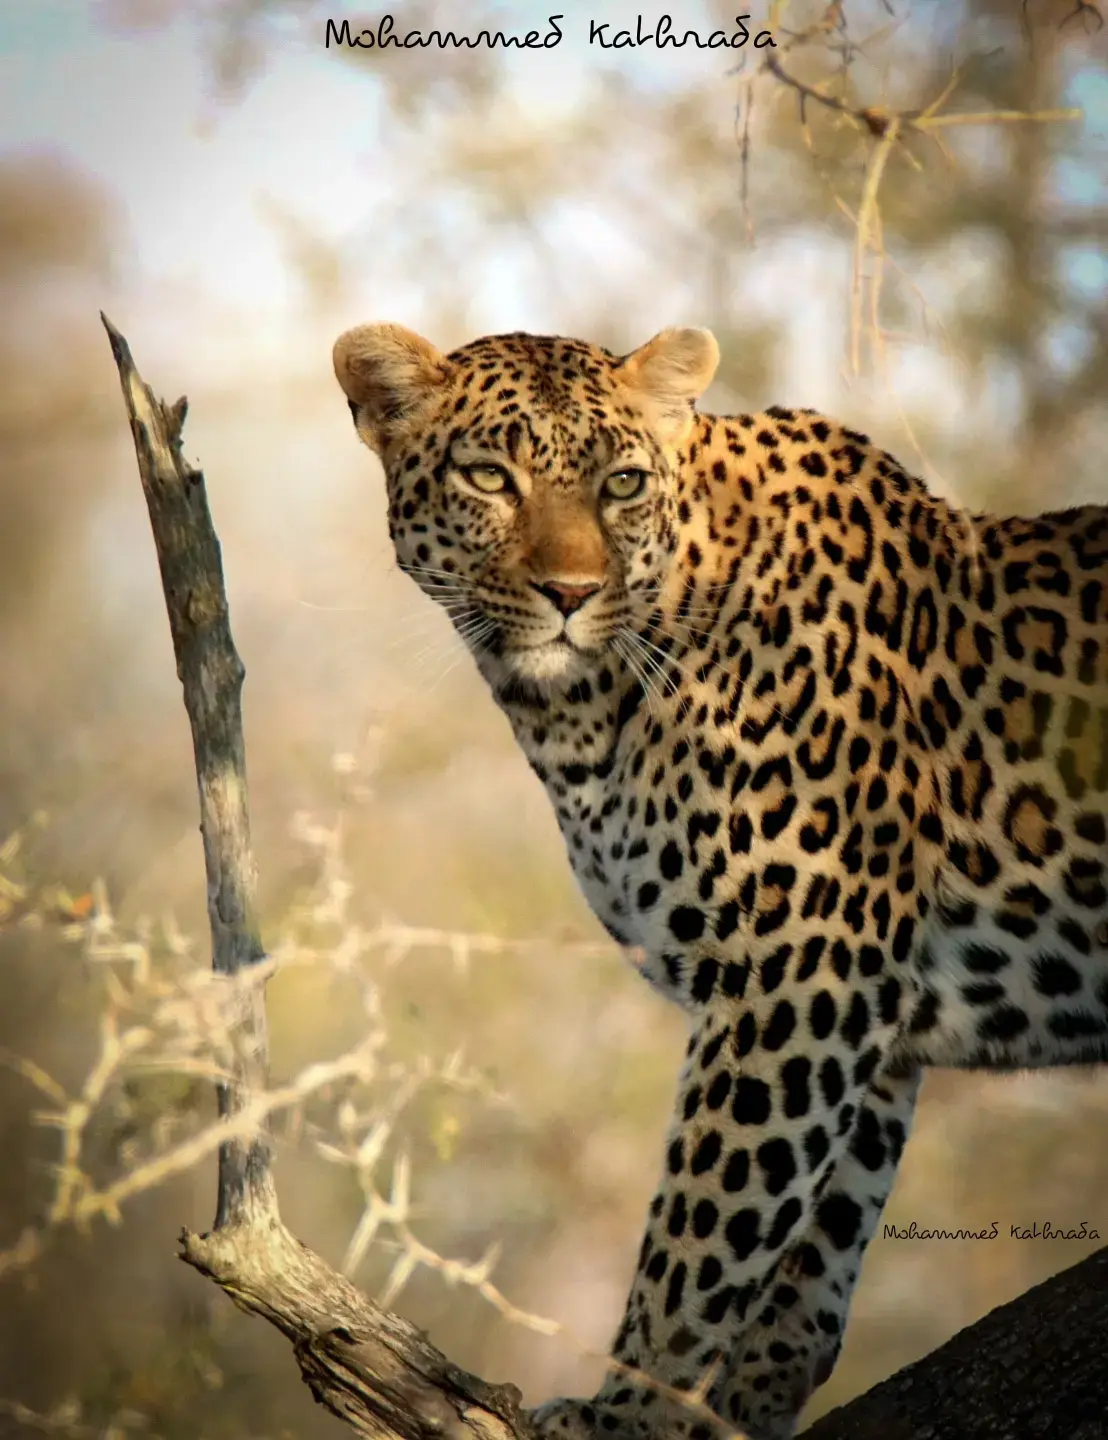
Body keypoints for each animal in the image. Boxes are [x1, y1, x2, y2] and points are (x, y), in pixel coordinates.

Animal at [332, 320, 1108, 1440]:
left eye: (619, 483)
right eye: (489, 477)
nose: (570, 595)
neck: (587, 712)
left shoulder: (799, 972)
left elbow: (703, 1233)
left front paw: (624, 1414)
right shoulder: (863, 1011)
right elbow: (812, 1244)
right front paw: (741, 1405)